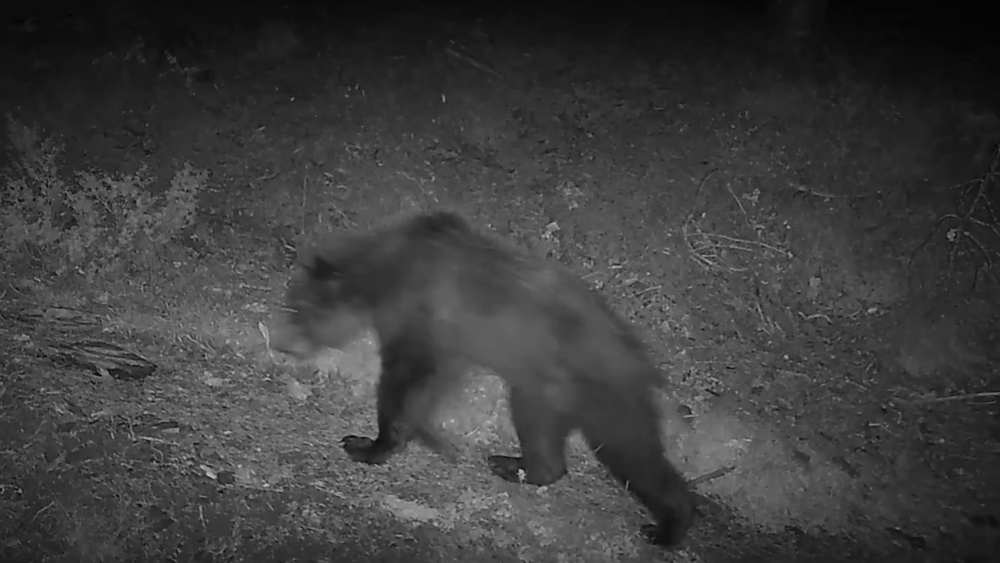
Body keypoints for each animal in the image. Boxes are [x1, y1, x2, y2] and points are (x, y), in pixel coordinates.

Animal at [272, 213, 696, 552]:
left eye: (297, 308)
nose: (280, 343)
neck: (386, 269)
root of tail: (641, 363)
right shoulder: (450, 338)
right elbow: (432, 383)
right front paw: (434, 438)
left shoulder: (418, 312)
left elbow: (404, 378)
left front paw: (368, 444)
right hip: (546, 390)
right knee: (548, 435)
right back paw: (513, 464)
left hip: (595, 395)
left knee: (633, 453)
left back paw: (668, 527)